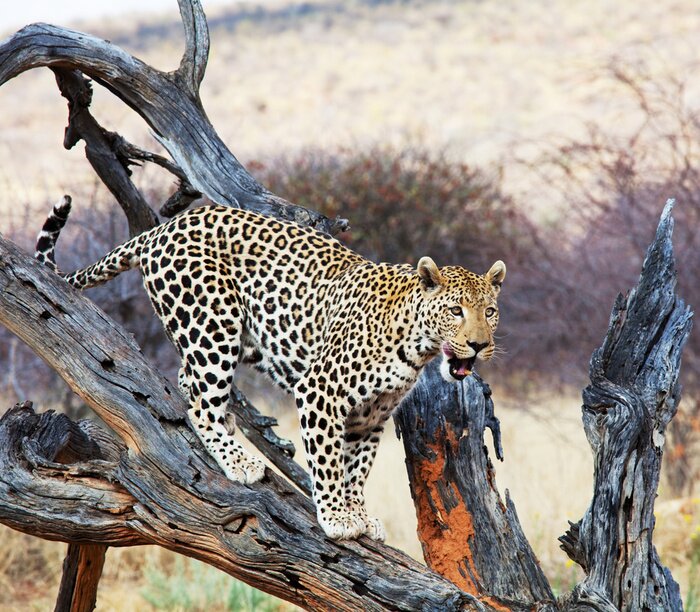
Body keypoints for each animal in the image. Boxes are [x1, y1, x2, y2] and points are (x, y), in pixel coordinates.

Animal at [35, 195, 506, 541]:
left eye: (490, 311)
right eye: (456, 311)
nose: (480, 345)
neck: (415, 344)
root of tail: (165, 227)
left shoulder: (371, 415)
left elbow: (356, 469)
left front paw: (359, 513)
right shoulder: (321, 391)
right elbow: (328, 464)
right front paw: (336, 517)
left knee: (192, 384)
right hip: (212, 325)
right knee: (201, 404)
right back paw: (239, 460)